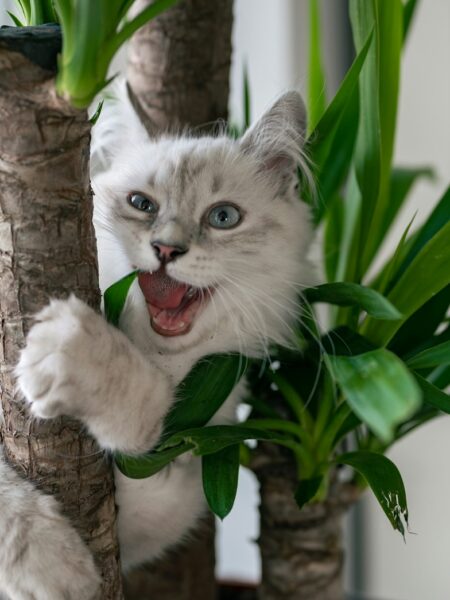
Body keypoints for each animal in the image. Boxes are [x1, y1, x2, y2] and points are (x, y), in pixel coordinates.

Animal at [0, 85, 312, 600]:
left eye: (223, 217)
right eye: (141, 204)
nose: (167, 249)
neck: (159, 359)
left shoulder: (172, 479)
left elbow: (147, 409)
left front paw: (71, 353)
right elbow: (6, 493)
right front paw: (53, 567)